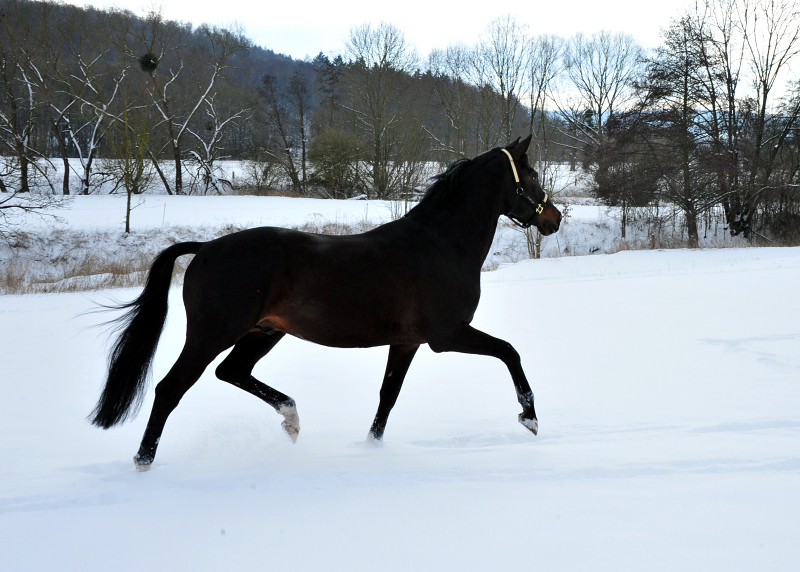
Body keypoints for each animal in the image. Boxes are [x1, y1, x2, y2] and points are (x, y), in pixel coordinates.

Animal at [89, 136, 564, 472]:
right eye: (532, 177)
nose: (554, 218)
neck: (442, 244)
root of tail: (205, 248)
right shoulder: (446, 336)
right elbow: (509, 352)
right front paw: (530, 418)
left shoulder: (407, 342)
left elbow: (388, 396)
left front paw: (371, 448)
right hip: (212, 334)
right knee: (171, 389)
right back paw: (144, 461)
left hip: (264, 332)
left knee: (233, 372)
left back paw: (292, 419)